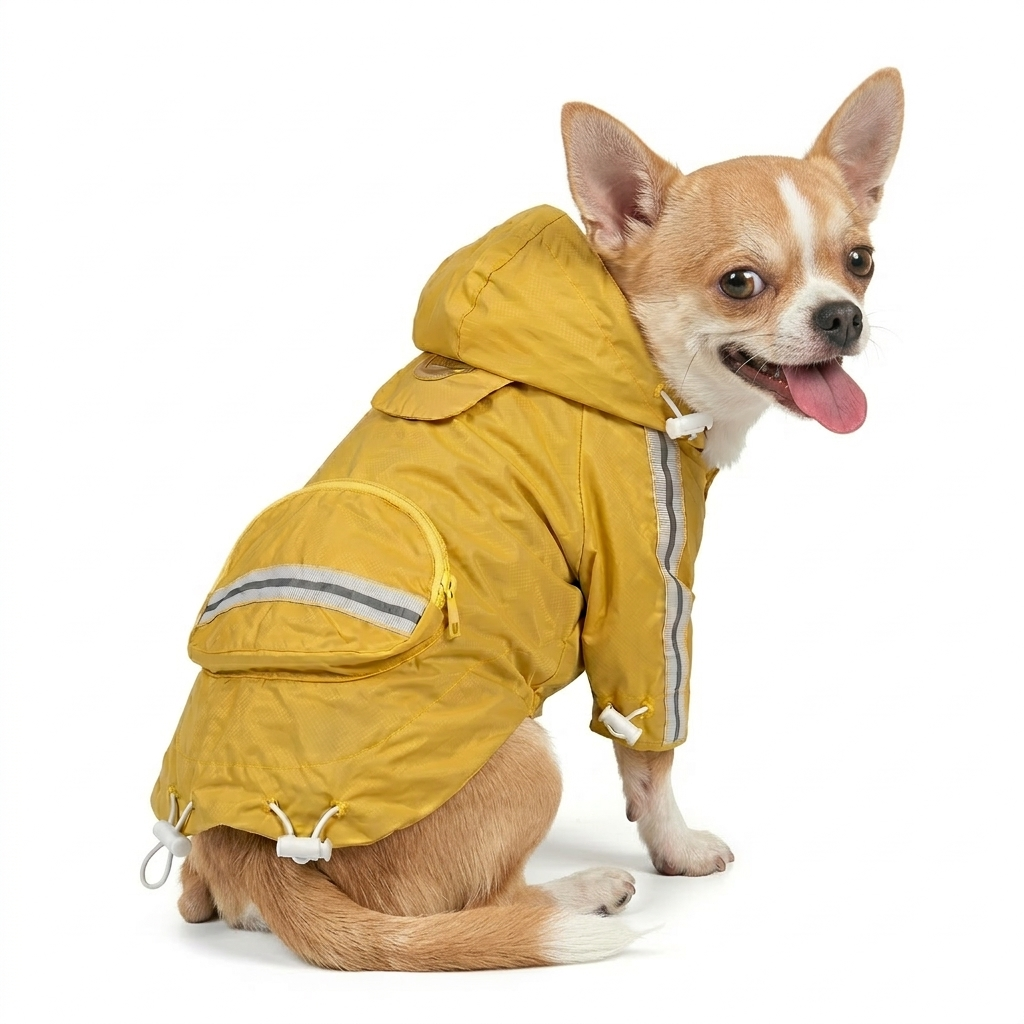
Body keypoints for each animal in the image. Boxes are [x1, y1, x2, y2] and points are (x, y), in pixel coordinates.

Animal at [145, 68, 903, 970]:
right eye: (740, 283)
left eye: (860, 262)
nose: (842, 316)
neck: (624, 346)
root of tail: (263, 858)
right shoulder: (644, 602)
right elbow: (651, 760)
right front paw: (677, 848)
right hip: (527, 755)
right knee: (475, 908)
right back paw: (583, 892)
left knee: (198, 899)